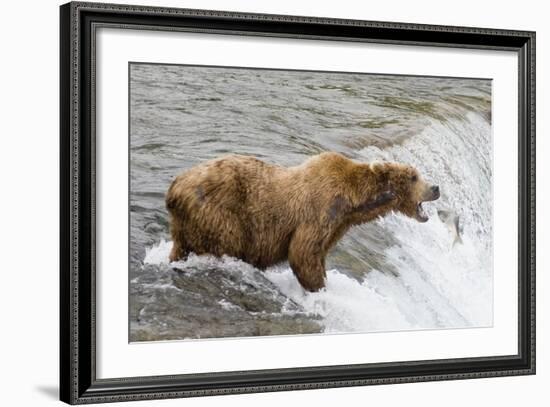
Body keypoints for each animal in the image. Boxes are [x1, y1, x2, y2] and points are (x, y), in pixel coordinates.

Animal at [166, 151, 442, 292]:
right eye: (414, 176)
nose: (436, 187)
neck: (354, 202)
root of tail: (175, 188)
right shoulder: (320, 211)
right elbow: (303, 252)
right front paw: (319, 289)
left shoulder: (338, 224)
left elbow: (318, 253)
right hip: (219, 213)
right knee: (226, 242)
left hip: (187, 225)